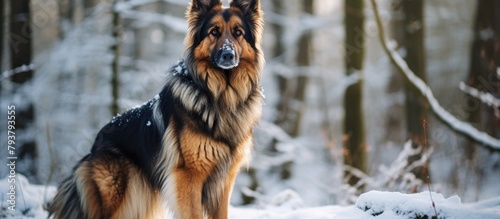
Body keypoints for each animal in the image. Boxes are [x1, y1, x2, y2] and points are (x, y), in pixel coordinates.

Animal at [48, 0, 264, 218]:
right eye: (214, 32)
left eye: (238, 33)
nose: (228, 55)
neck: (221, 96)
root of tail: (94, 145)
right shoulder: (188, 176)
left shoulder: (223, 183)